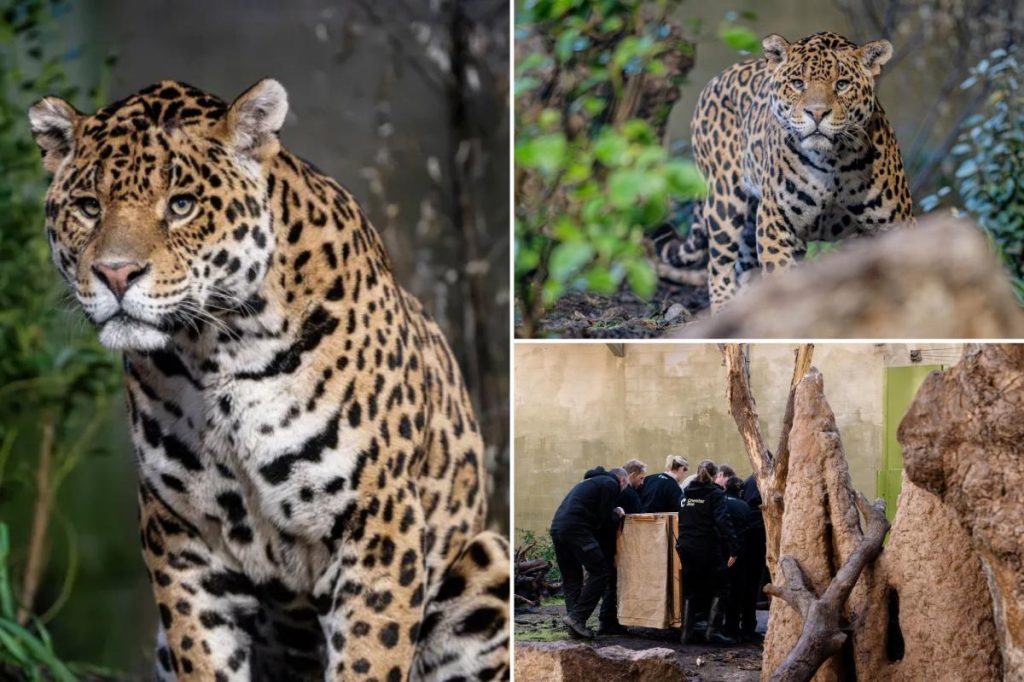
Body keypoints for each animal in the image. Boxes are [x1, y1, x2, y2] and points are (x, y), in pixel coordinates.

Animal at [28, 79, 509, 681]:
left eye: (181, 205)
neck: (218, 351)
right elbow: (203, 656)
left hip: (490, 559)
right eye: (89, 208)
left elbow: (371, 655)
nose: (115, 274)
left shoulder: (380, 523)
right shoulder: (182, 536)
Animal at [652, 32, 915, 311]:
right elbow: (779, 276)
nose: (817, 113)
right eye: (798, 83)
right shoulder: (775, 224)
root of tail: (719, 77)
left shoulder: (895, 226)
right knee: (719, 266)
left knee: (745, 268)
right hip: (724, 201)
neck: (832, 161)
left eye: (842, 84)